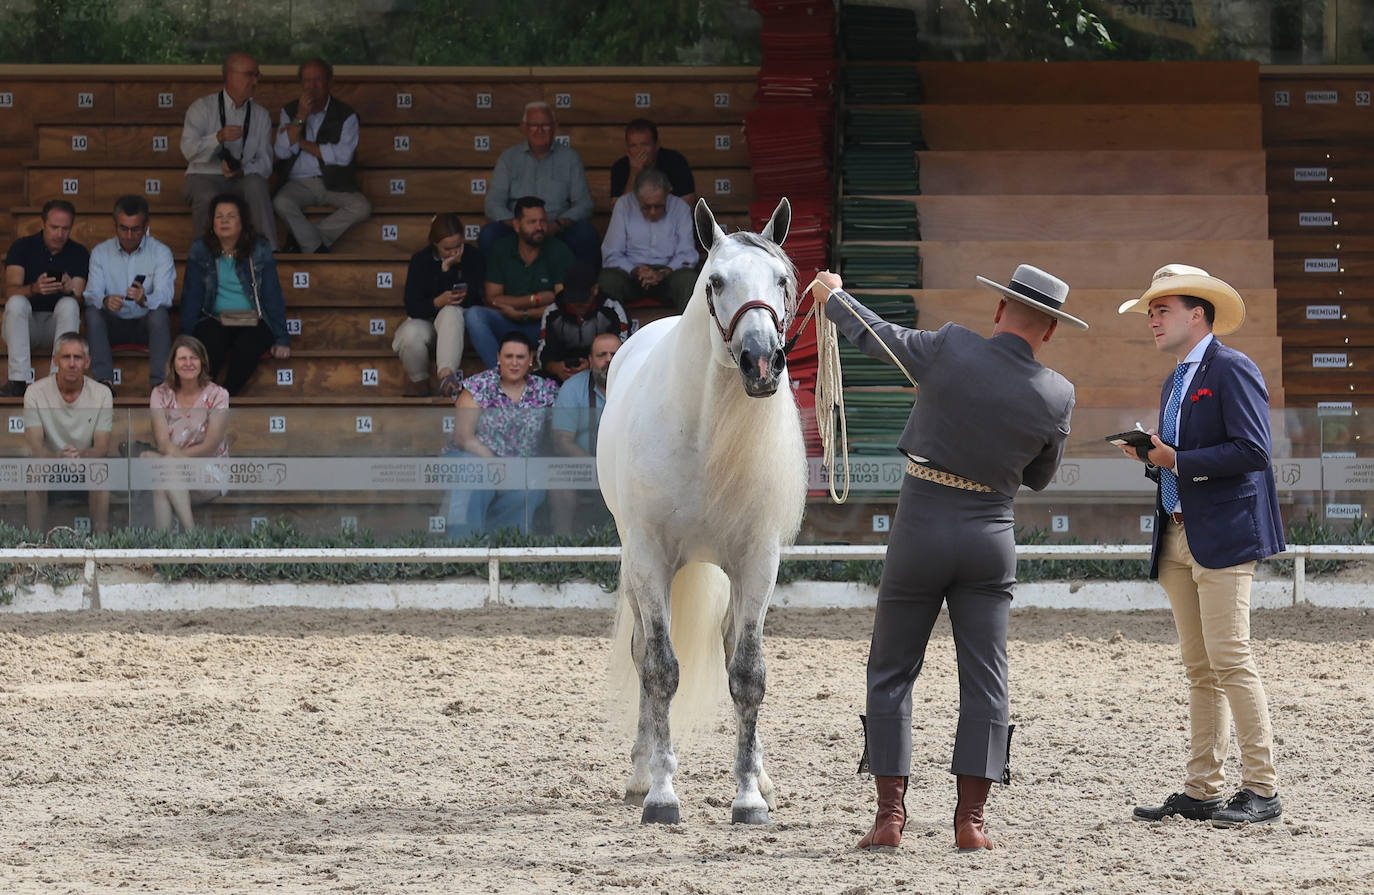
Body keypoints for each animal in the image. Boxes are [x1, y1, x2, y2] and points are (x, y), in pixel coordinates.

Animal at [599, 197, 807, 824]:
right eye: (715, 282)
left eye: (782, 279)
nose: (760, 362)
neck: (702, 433)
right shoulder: (649, 559)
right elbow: (660, 670)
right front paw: (662, 795)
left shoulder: (758, 562)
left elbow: (748, 675)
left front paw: (749, 797)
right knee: (643, 657)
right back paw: (641, 776)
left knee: (730, 647)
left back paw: (760, 777)